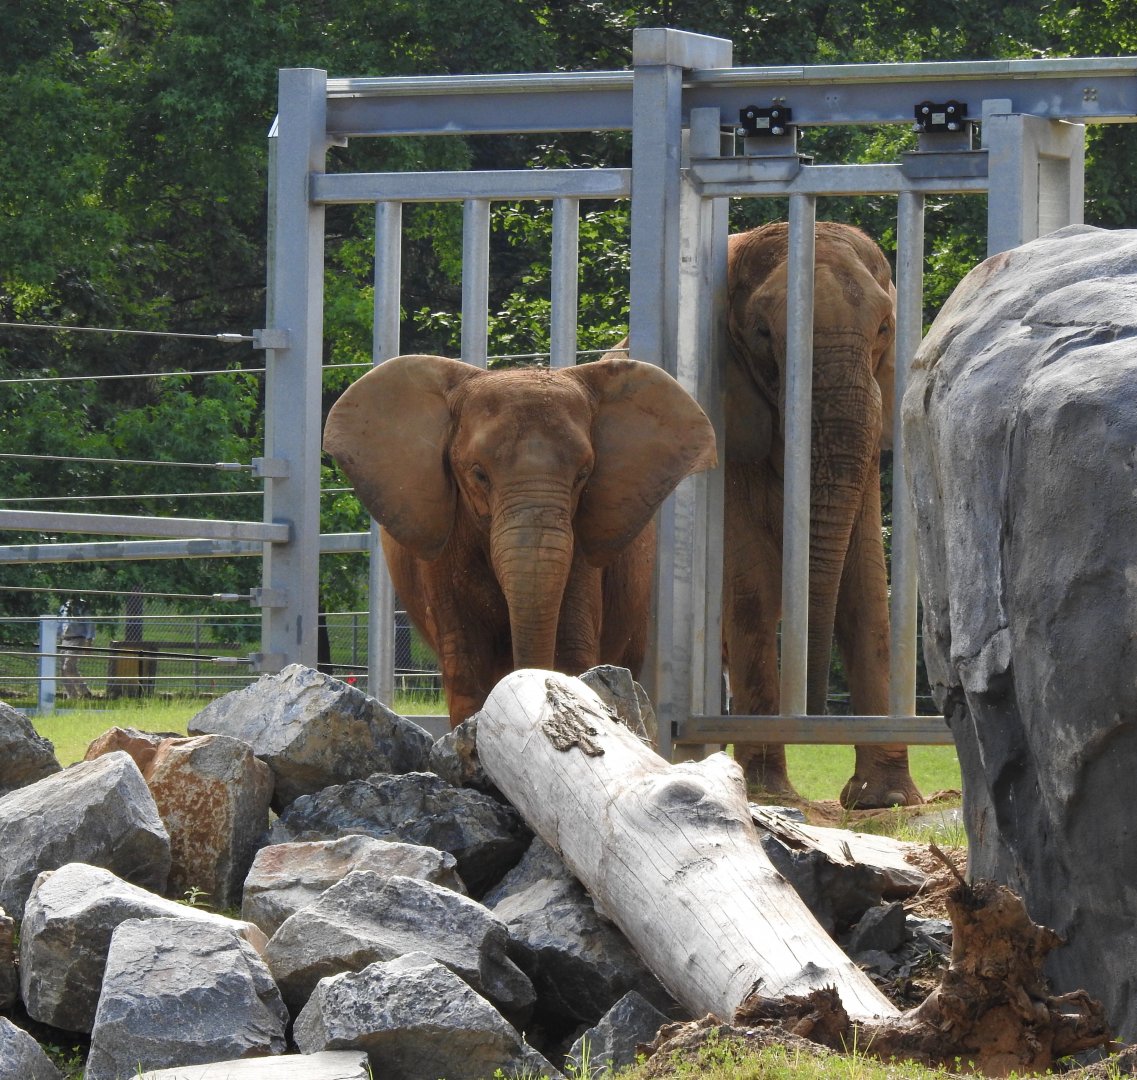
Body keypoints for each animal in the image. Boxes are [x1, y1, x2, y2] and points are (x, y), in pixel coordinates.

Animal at [723, 221, 922, 808]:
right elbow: (751, 585)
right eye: (762, 333)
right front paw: (768, 793)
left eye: (885, 327)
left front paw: (885, 799)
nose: (812, 712)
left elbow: (865, 584)